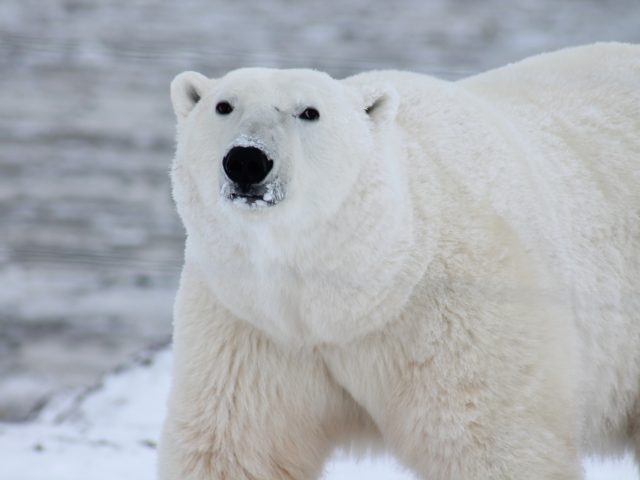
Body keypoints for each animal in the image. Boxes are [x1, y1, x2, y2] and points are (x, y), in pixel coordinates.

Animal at [159, 43, 640, 478]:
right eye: (223, 105)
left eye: (309, 112)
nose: (247, 160)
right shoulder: (251, 326)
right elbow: (236, 448)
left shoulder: (460, 318)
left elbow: (492, 443)